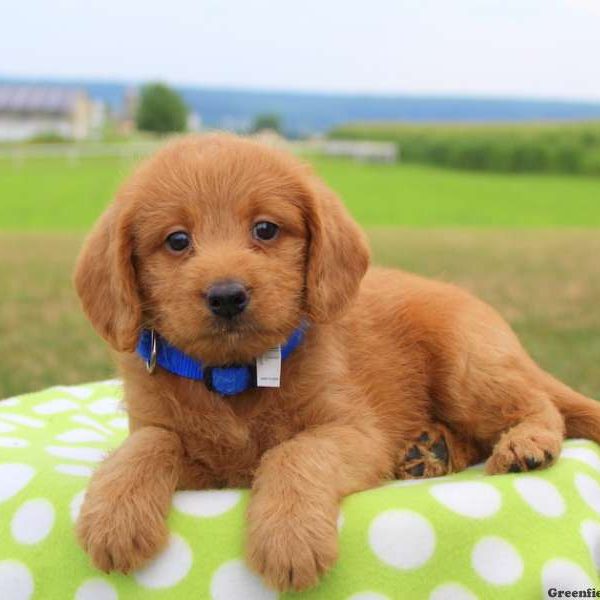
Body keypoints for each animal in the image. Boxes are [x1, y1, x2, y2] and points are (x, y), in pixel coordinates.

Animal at [74, 132, 600, 592]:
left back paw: (524, 444)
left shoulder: (355, 432)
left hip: (468, 366)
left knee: (537, 404)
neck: (233, 376)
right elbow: (149, 443)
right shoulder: (196, 460)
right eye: (177, 240)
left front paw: (288, 537)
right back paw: (430, 450)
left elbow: (296, 451)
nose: (226, 296)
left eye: (265, 229)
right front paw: (114, 513)